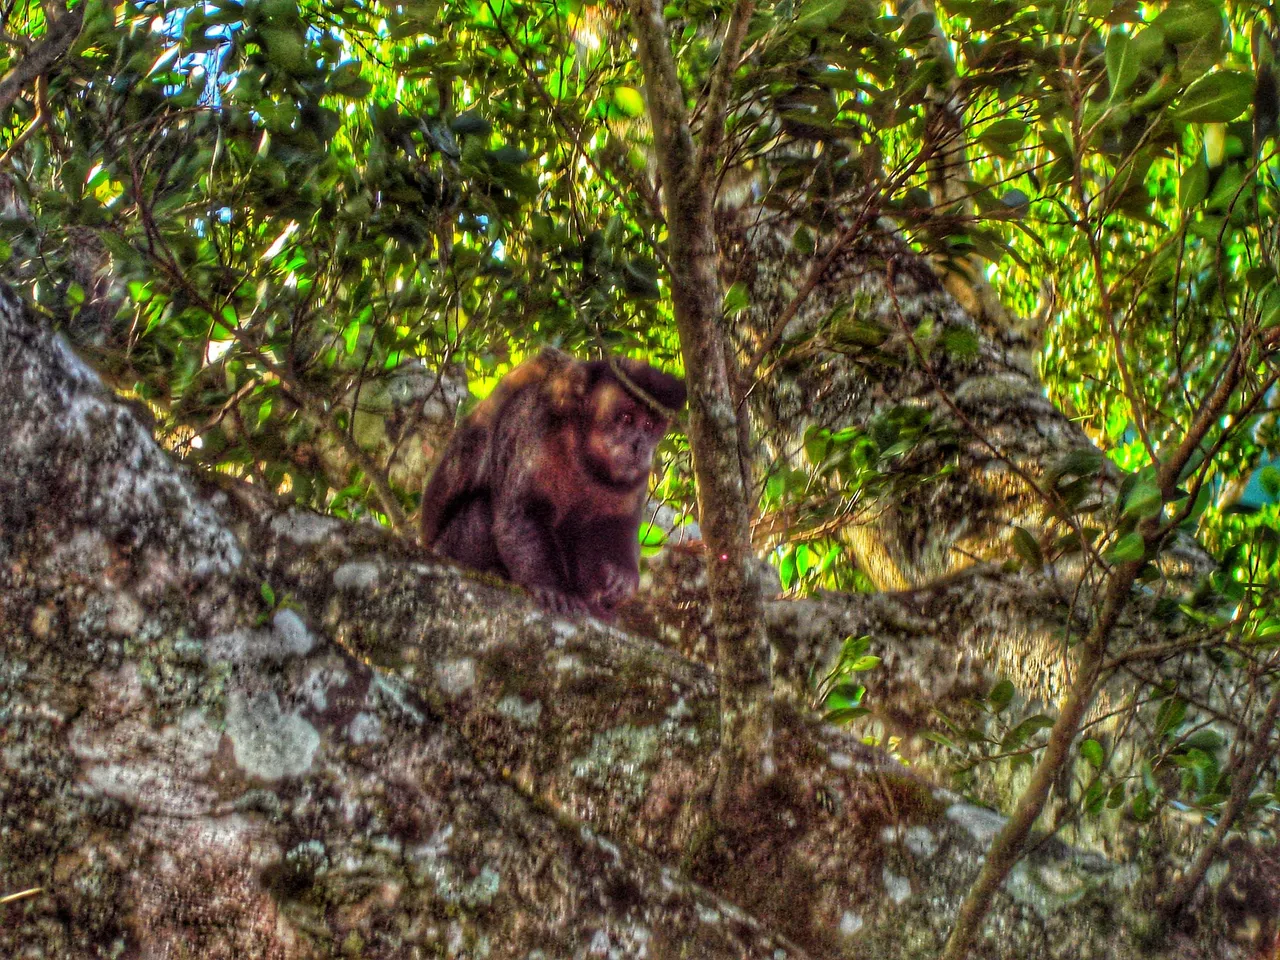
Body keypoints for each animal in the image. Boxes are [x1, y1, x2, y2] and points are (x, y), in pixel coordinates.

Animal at [419, 350, 686, 619]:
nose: (640, 445)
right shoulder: (531, 422)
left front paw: (621, 579)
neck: (579, 448)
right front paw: (551, 587)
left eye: (649, 425)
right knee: (482, 510)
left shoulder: (637, 476)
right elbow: (522, 511)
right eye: (627, 418)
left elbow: (615, 524)